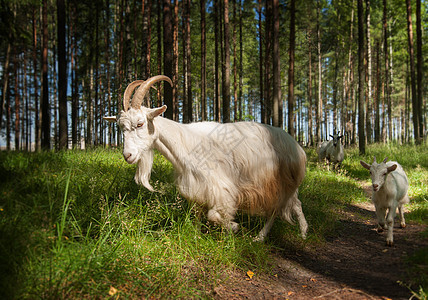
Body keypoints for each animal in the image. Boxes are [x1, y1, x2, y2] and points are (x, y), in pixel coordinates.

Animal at [105, 75, 310, 241]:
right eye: (121, 128)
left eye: (140, 123)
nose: (128, 155)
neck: (185, 142)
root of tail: (296, 145)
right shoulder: (196, 187)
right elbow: (197, 214)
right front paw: (197, 236)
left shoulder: (220, 186)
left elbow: (214, 215)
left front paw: (233, 226)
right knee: (289, 204)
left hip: (281, 179)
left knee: (284, 206)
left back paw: (285, 235)